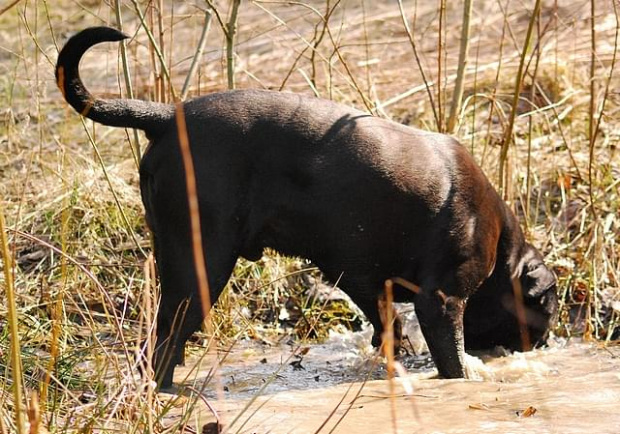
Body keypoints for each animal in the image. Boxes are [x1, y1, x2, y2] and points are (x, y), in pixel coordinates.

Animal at [54, 26, 556, 386]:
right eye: (549, 308)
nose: (543, 343)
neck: (503, 246)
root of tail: (165, 117)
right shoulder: (442, 300)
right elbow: (451, 361)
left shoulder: (361, 278)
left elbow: (388, 324)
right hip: (202, 264)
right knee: (164, 341)